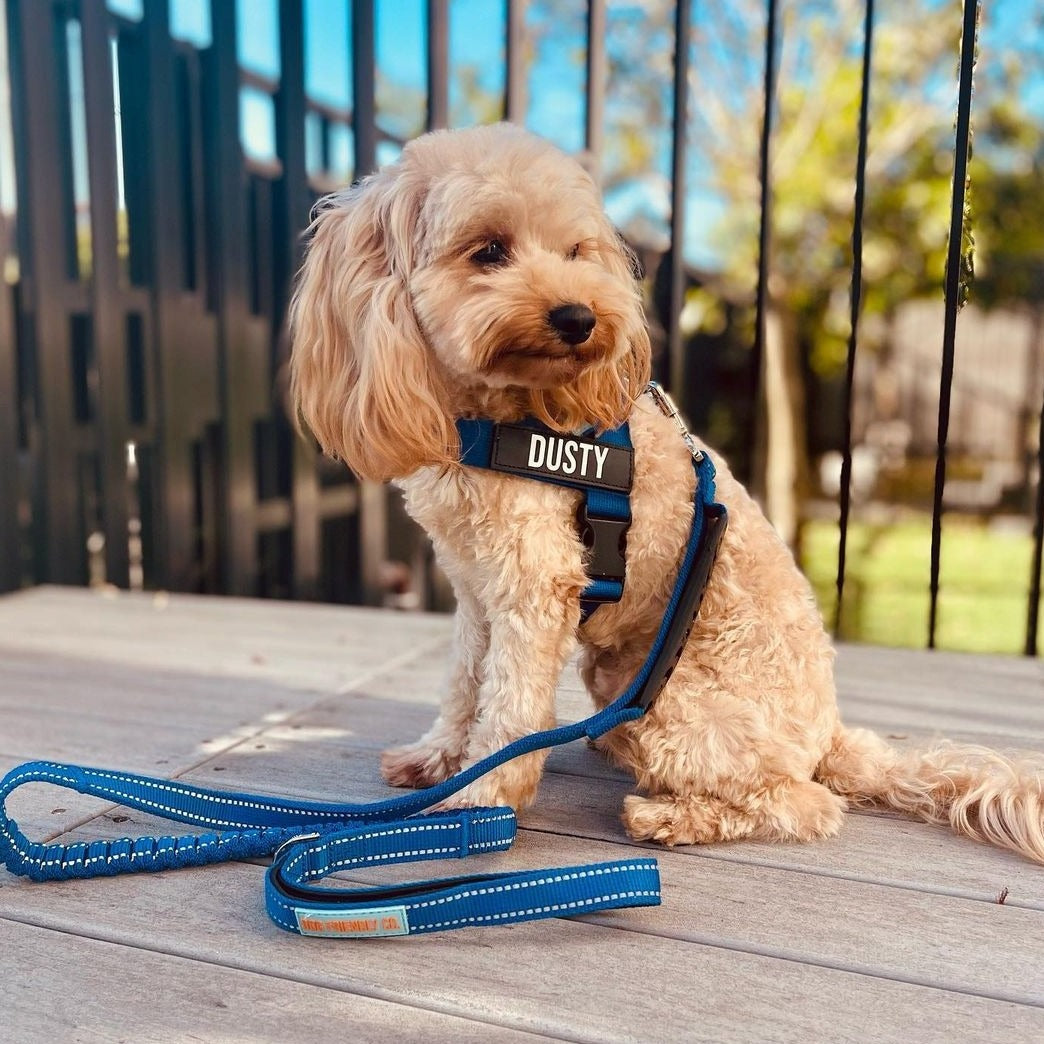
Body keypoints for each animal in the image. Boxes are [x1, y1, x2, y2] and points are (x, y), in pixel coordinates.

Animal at [290, 122, 1044, 864]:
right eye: (489, 251)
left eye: (575, 251)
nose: (579, 317)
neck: (502, 418)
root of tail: (831, 734)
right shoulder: (478, 592)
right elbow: (464, 683)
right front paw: (440, 759)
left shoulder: (536, 587)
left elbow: (508, 709)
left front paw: (479, 805)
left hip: (676, 706)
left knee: (802, 804)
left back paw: (670, 817)